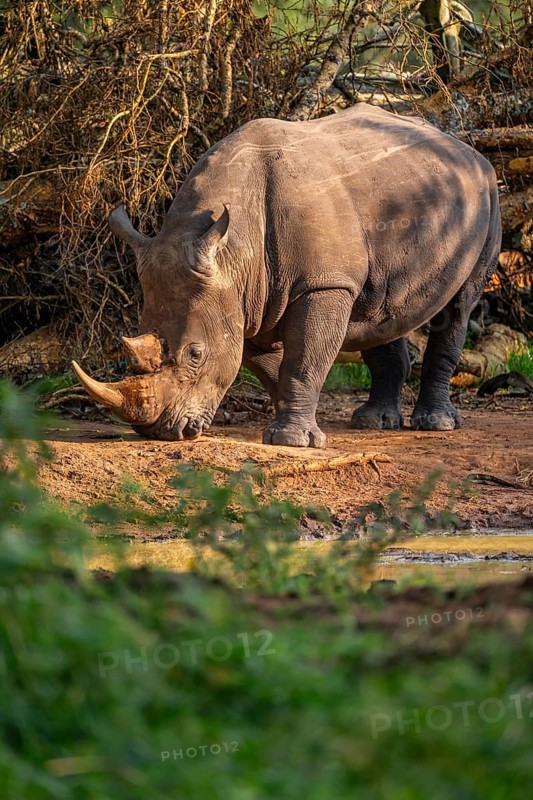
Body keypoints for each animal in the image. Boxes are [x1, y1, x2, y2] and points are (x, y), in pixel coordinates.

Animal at [72, 104, 501, 447]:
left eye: (195, 354)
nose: (159, 431)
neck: (235, 252)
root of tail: (467, 148)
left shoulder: (321, 283)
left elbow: (303, 358)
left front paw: (291, 440)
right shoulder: (244, 298)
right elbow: (273, 363)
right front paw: (290, 421)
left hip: (488, 196)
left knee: (458, 308)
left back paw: (436, 424)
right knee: (379, 310)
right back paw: (372, 422)